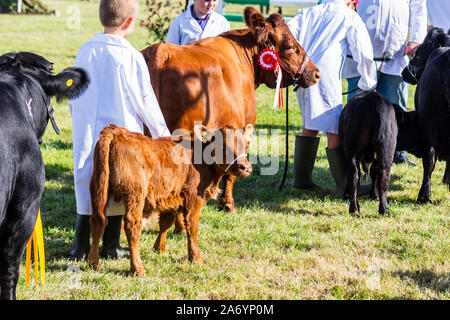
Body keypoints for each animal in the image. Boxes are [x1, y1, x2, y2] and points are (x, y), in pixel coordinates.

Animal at [88, 123, 253, 276]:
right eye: (223, 145)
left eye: (246, 144)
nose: (245, 167)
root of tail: (117, 131)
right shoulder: (194, 198)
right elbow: (192, 226)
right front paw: (195, 257)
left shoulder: (170, 198)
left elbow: (166, 223)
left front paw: (158, 248)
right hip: (135, 194)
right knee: (132, 226)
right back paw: (137, 268)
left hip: (98, 188)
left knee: (98, 221)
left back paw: (93, 262)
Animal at [141, 7, 320, 228]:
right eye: (290, 46)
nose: (316, 73)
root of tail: (161, 51)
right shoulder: (243, 128)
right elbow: (231, 170)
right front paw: (227, 205)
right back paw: (181, 226)